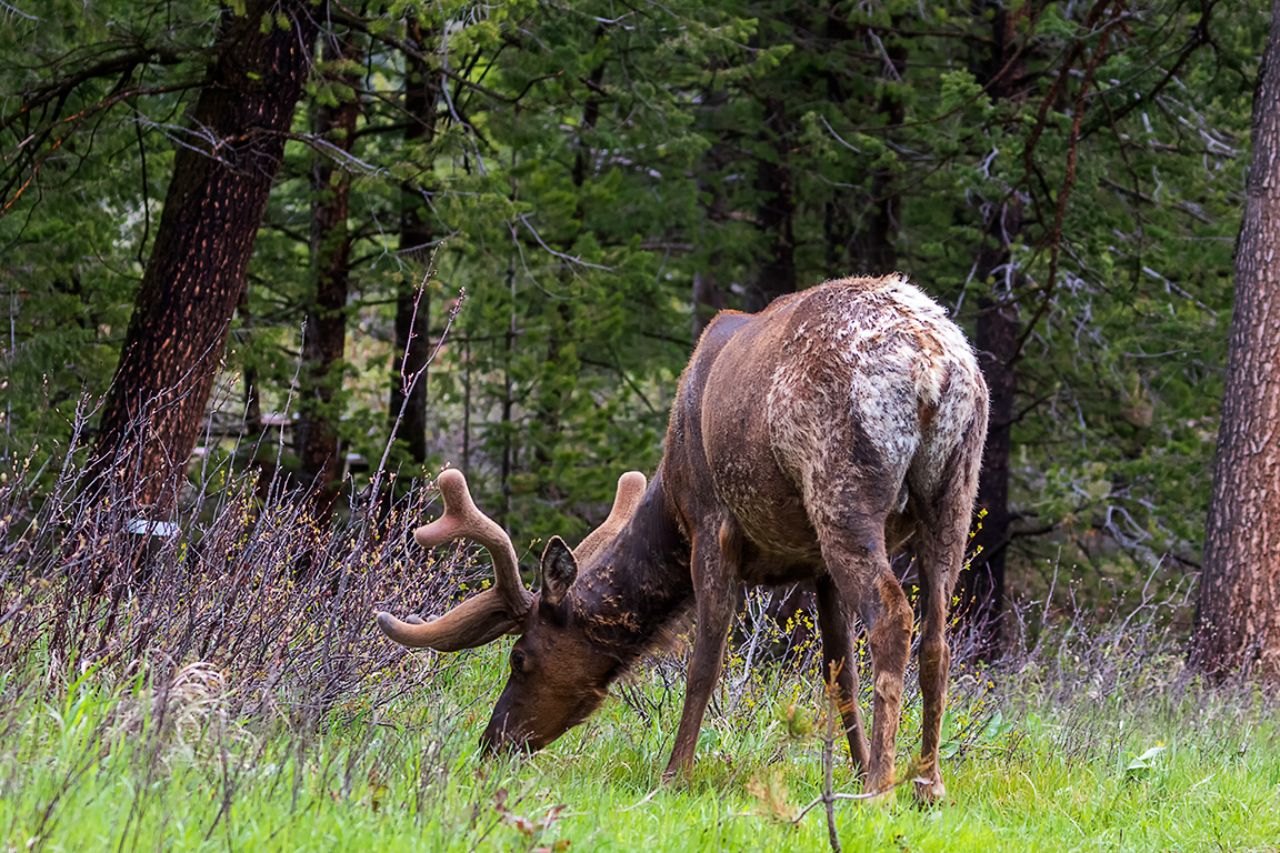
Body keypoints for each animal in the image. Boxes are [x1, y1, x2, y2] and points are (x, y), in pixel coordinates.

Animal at [376, 274, 989, 804]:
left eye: (519, 658)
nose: (492, 742)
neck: (668, 500)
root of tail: (934, 367)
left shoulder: (711, 522)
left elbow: (705, 660)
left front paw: (674, 774)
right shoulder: (815, 566)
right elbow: (840, 673)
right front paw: (855, 766)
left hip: (843, 490)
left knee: (893, 615)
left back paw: (881, 788)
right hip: (954, 494)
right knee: (937, 636)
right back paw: (926, 784)